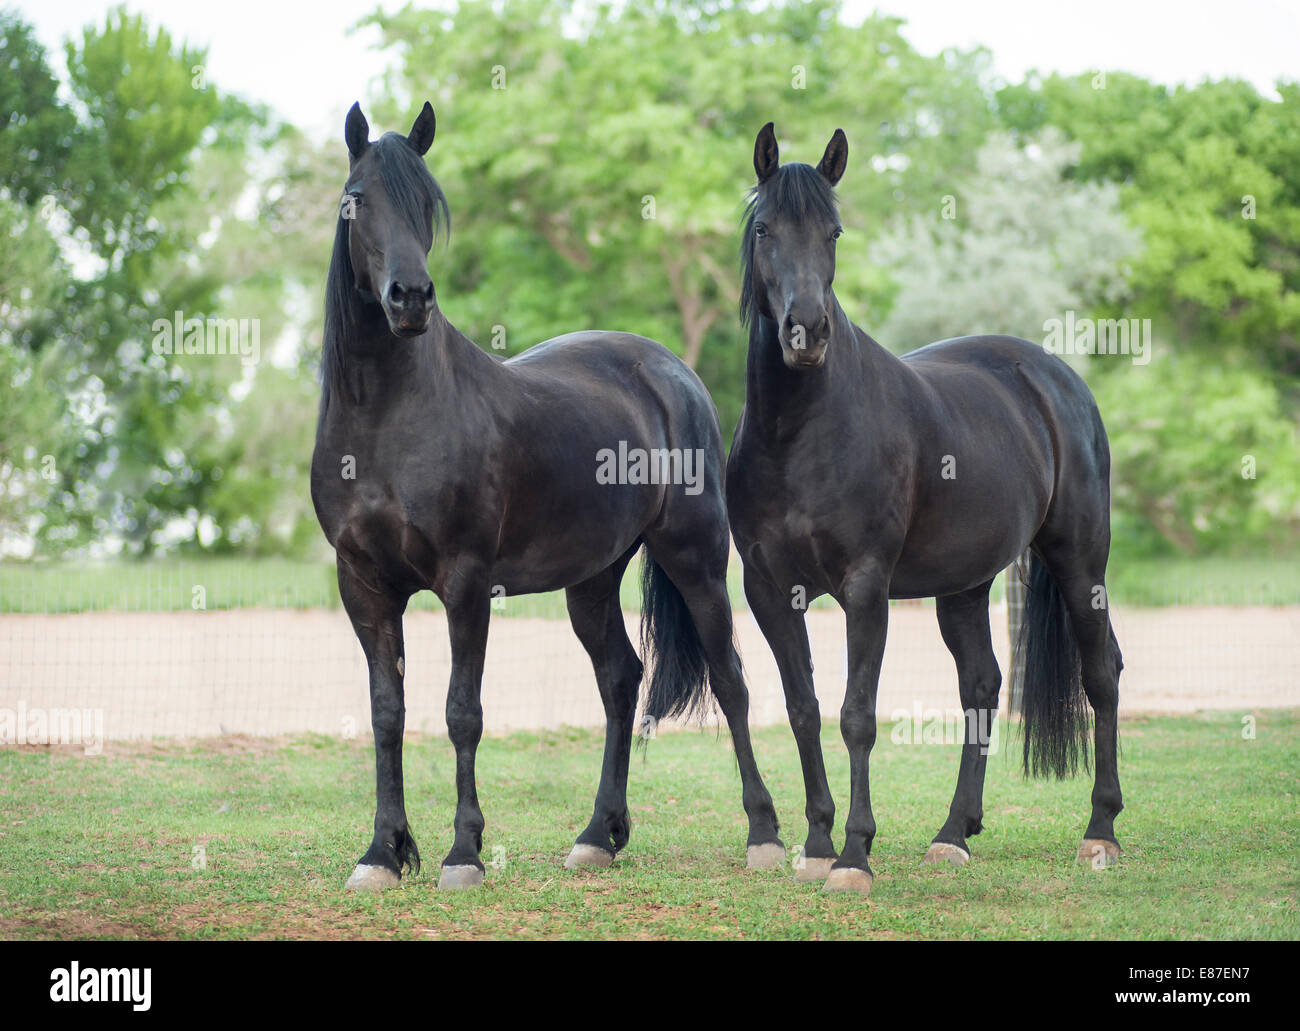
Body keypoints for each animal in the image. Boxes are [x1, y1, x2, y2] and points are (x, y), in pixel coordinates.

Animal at [310, 102, 785, 891]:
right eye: (357, 199)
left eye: (428, 205)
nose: (410, 299)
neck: (387, 422)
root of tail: (672, 372)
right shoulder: (364, 585)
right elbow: (386, 713)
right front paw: (383, 852)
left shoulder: (466, 582)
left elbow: (461, 711)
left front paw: (462, 852)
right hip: (591, 580)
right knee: (621, 679)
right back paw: (599, 835)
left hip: (697, 560)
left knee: (731, 679)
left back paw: (766, 834)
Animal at [725, 122, 1124, 894]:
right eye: (764, 229)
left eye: (834, 232)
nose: (807, 332)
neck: (798, 435)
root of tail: (1055, 378)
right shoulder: (768, 589)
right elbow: (802, 709)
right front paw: (815, 843)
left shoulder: (864, 587)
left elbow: (856, 714)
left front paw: (853, 855)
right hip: (964, 585)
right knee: (982, 684)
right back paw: (953, 834)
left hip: (1079, 561)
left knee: (1102, 674)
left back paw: (1100, 832)